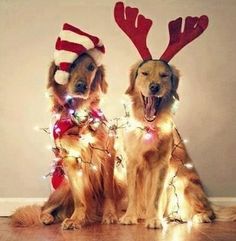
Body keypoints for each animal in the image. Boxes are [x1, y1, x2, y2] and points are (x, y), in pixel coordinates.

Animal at [114, 1, 236, 228]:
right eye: (144, 73)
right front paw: (130, 216)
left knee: (207, 211)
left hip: (183, 181)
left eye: (164, 75)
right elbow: (134, 193)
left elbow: (154, 195)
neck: (148, 127)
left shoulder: (162, 166)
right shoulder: (132, 162)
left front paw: (153, 219)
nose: (154, 87)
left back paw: (196, 217)